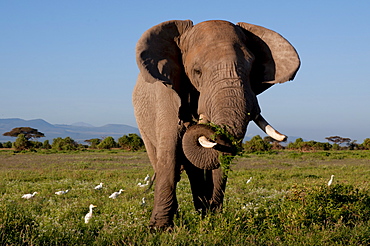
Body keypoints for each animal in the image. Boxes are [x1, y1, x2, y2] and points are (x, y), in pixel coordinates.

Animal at [133, 19, 300, 229]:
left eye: (251, 70)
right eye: (197, 72)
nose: (191, 122)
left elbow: (219, 156)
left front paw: (213, 220)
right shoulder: (166, 94)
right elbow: (170, 152)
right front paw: (160, 229)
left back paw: (201, 212)